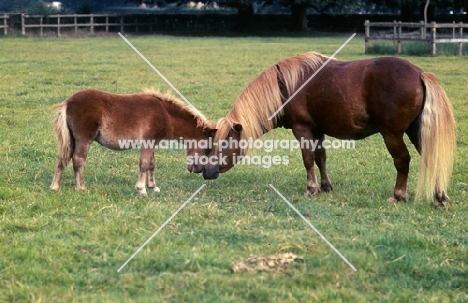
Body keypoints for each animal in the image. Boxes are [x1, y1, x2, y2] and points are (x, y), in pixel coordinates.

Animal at [49, 89, 216, 196]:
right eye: (208, 147)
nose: (198, 170)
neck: (164, 114)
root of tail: (68, 102)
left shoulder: (152, 143)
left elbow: (151, 164)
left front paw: (153, 187)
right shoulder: (147, 141)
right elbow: (144, 163)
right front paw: (141, 189)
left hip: (71, 139)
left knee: (63, 158)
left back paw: (55, 187)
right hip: (84, 139)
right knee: (78, 160)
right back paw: (81, 188)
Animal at [199, 52, 456, 209]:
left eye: (224, 143)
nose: (206, 171)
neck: (285, 86)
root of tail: (420, 73)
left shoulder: (302, 129)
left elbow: (308, 159)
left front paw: (311, 188)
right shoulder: (317, 130)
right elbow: (321, 157)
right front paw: (325, 186)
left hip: (392, 134)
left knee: (402, 160)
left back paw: (399, 194)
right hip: (416, 131)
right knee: (432, 158)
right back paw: (439, 197)